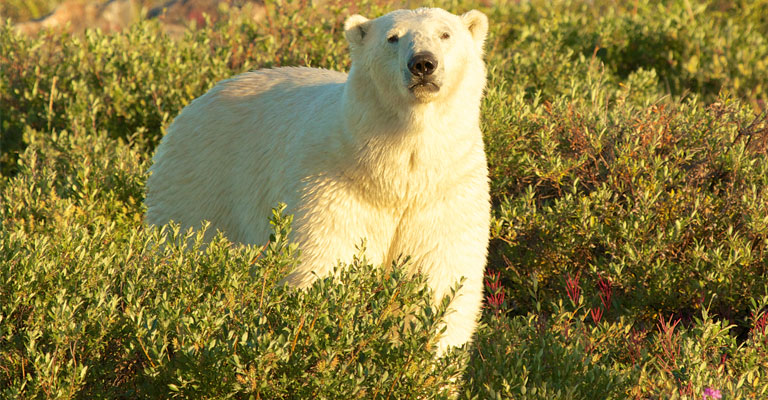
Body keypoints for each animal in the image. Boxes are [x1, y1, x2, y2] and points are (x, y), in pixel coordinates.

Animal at [146, 7, 492, 354]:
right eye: (393, 38)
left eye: (445, 34)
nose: (422, 63)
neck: (393, 175)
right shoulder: (334, 188)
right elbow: (325, 264)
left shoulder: (445, 194)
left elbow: (440, 281)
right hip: (202, 182)